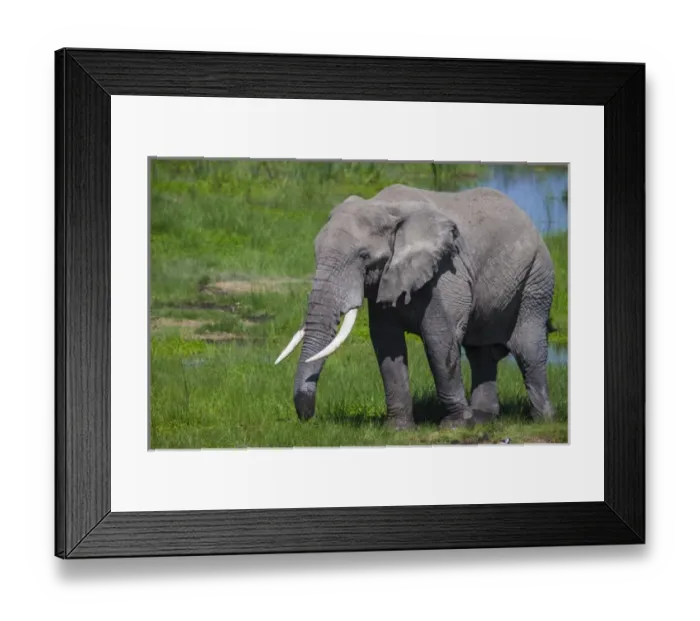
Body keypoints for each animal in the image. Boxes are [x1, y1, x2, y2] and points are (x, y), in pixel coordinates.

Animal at [275, 184, 556, 430]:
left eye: (364, 256)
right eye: (315, 253)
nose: (308, 417)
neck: (385, 207)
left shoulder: (445, 273)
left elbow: (440, 340)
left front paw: (455, 426)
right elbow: (387, 344)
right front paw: (398, 429)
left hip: (536, 278)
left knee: (529, 349)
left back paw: (542, 420)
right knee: (481, 352)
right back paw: (483, 419)